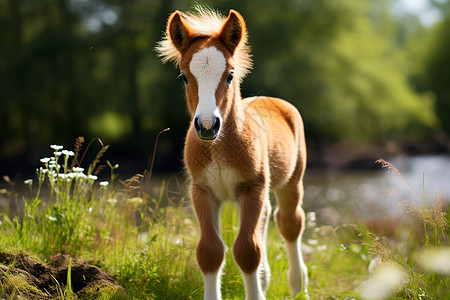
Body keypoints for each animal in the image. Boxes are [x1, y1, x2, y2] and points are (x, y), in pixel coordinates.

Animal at [156, 7, 308, 300]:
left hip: (292, 181)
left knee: (290, 223)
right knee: (268, 217)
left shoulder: (252, 187)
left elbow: (247, 251)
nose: (206, 125)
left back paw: (299, 287)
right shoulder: (202, 190)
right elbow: (209, 251)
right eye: (184, 76)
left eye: (229, 75)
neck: (219, 148)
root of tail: (270, 99)